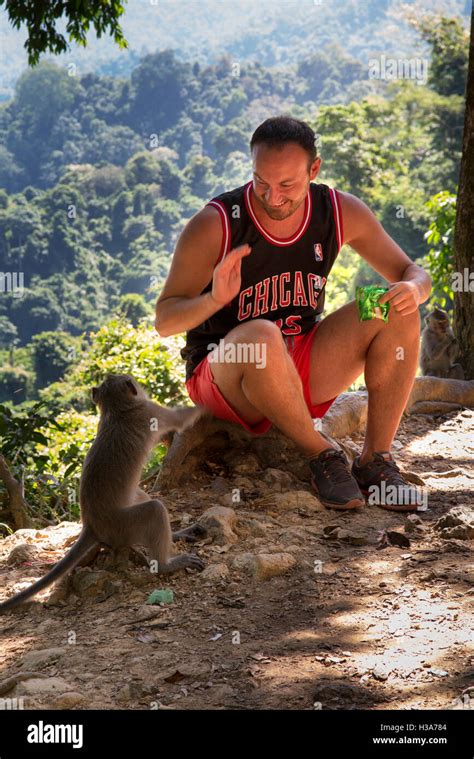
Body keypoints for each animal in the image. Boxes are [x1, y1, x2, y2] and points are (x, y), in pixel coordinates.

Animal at [1, 376, 206, 616]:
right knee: (154, 509)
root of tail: (91, 526)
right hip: (122, 526)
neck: (117, 409)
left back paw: (177, 535)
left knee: (142, 497)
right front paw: (207, 405)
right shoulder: (150, 410)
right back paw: (166, 564)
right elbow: (182, 419)